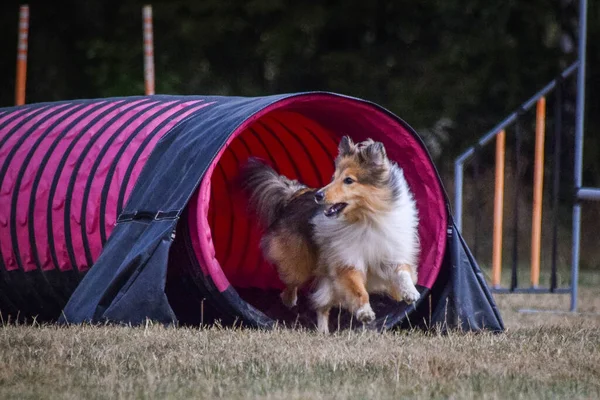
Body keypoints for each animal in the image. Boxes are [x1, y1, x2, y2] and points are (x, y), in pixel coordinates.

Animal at [241, 136, 420, 332]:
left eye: (348, 180)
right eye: (333, 178)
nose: (318, 195)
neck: (367, 219)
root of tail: (296, 194)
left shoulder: (391, 251)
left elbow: (403, 272)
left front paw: (410, 292)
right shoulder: (347, 260)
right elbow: (358, 289)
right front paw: (365, 312)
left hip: (327, 278)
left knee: (322, 305)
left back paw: (323, 331)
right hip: (301, 262)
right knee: (294, 283)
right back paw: (291, 301)